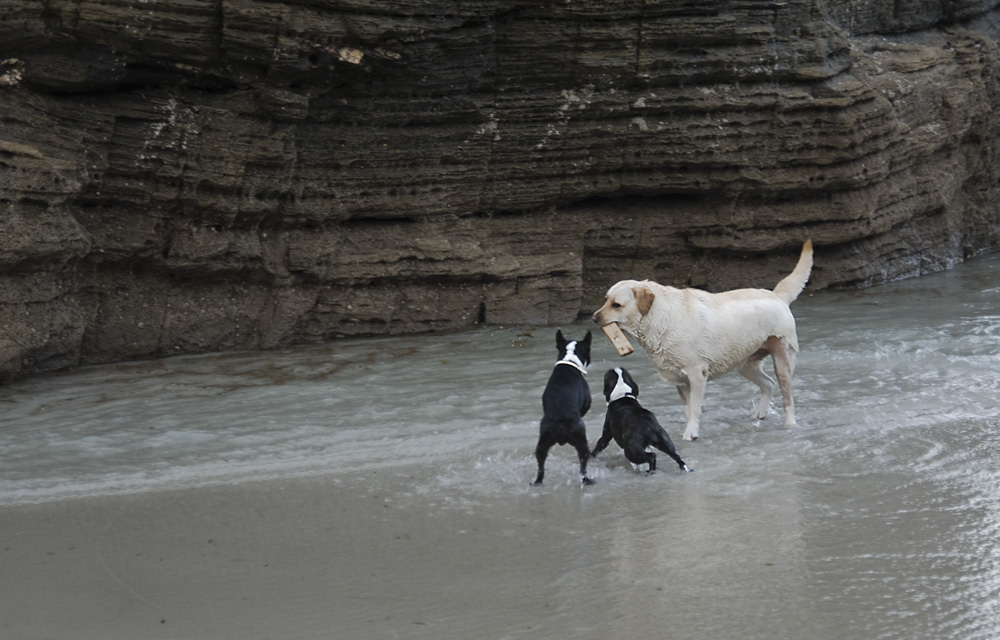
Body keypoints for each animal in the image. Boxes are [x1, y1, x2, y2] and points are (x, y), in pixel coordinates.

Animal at [532, 330, 592, 484]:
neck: (569, 362)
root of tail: (561, 421)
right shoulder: (587, 402)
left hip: (542, 444)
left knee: (541, 467)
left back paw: (537, 482)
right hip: (582, 442)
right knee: (583, 465)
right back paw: (587, 479)